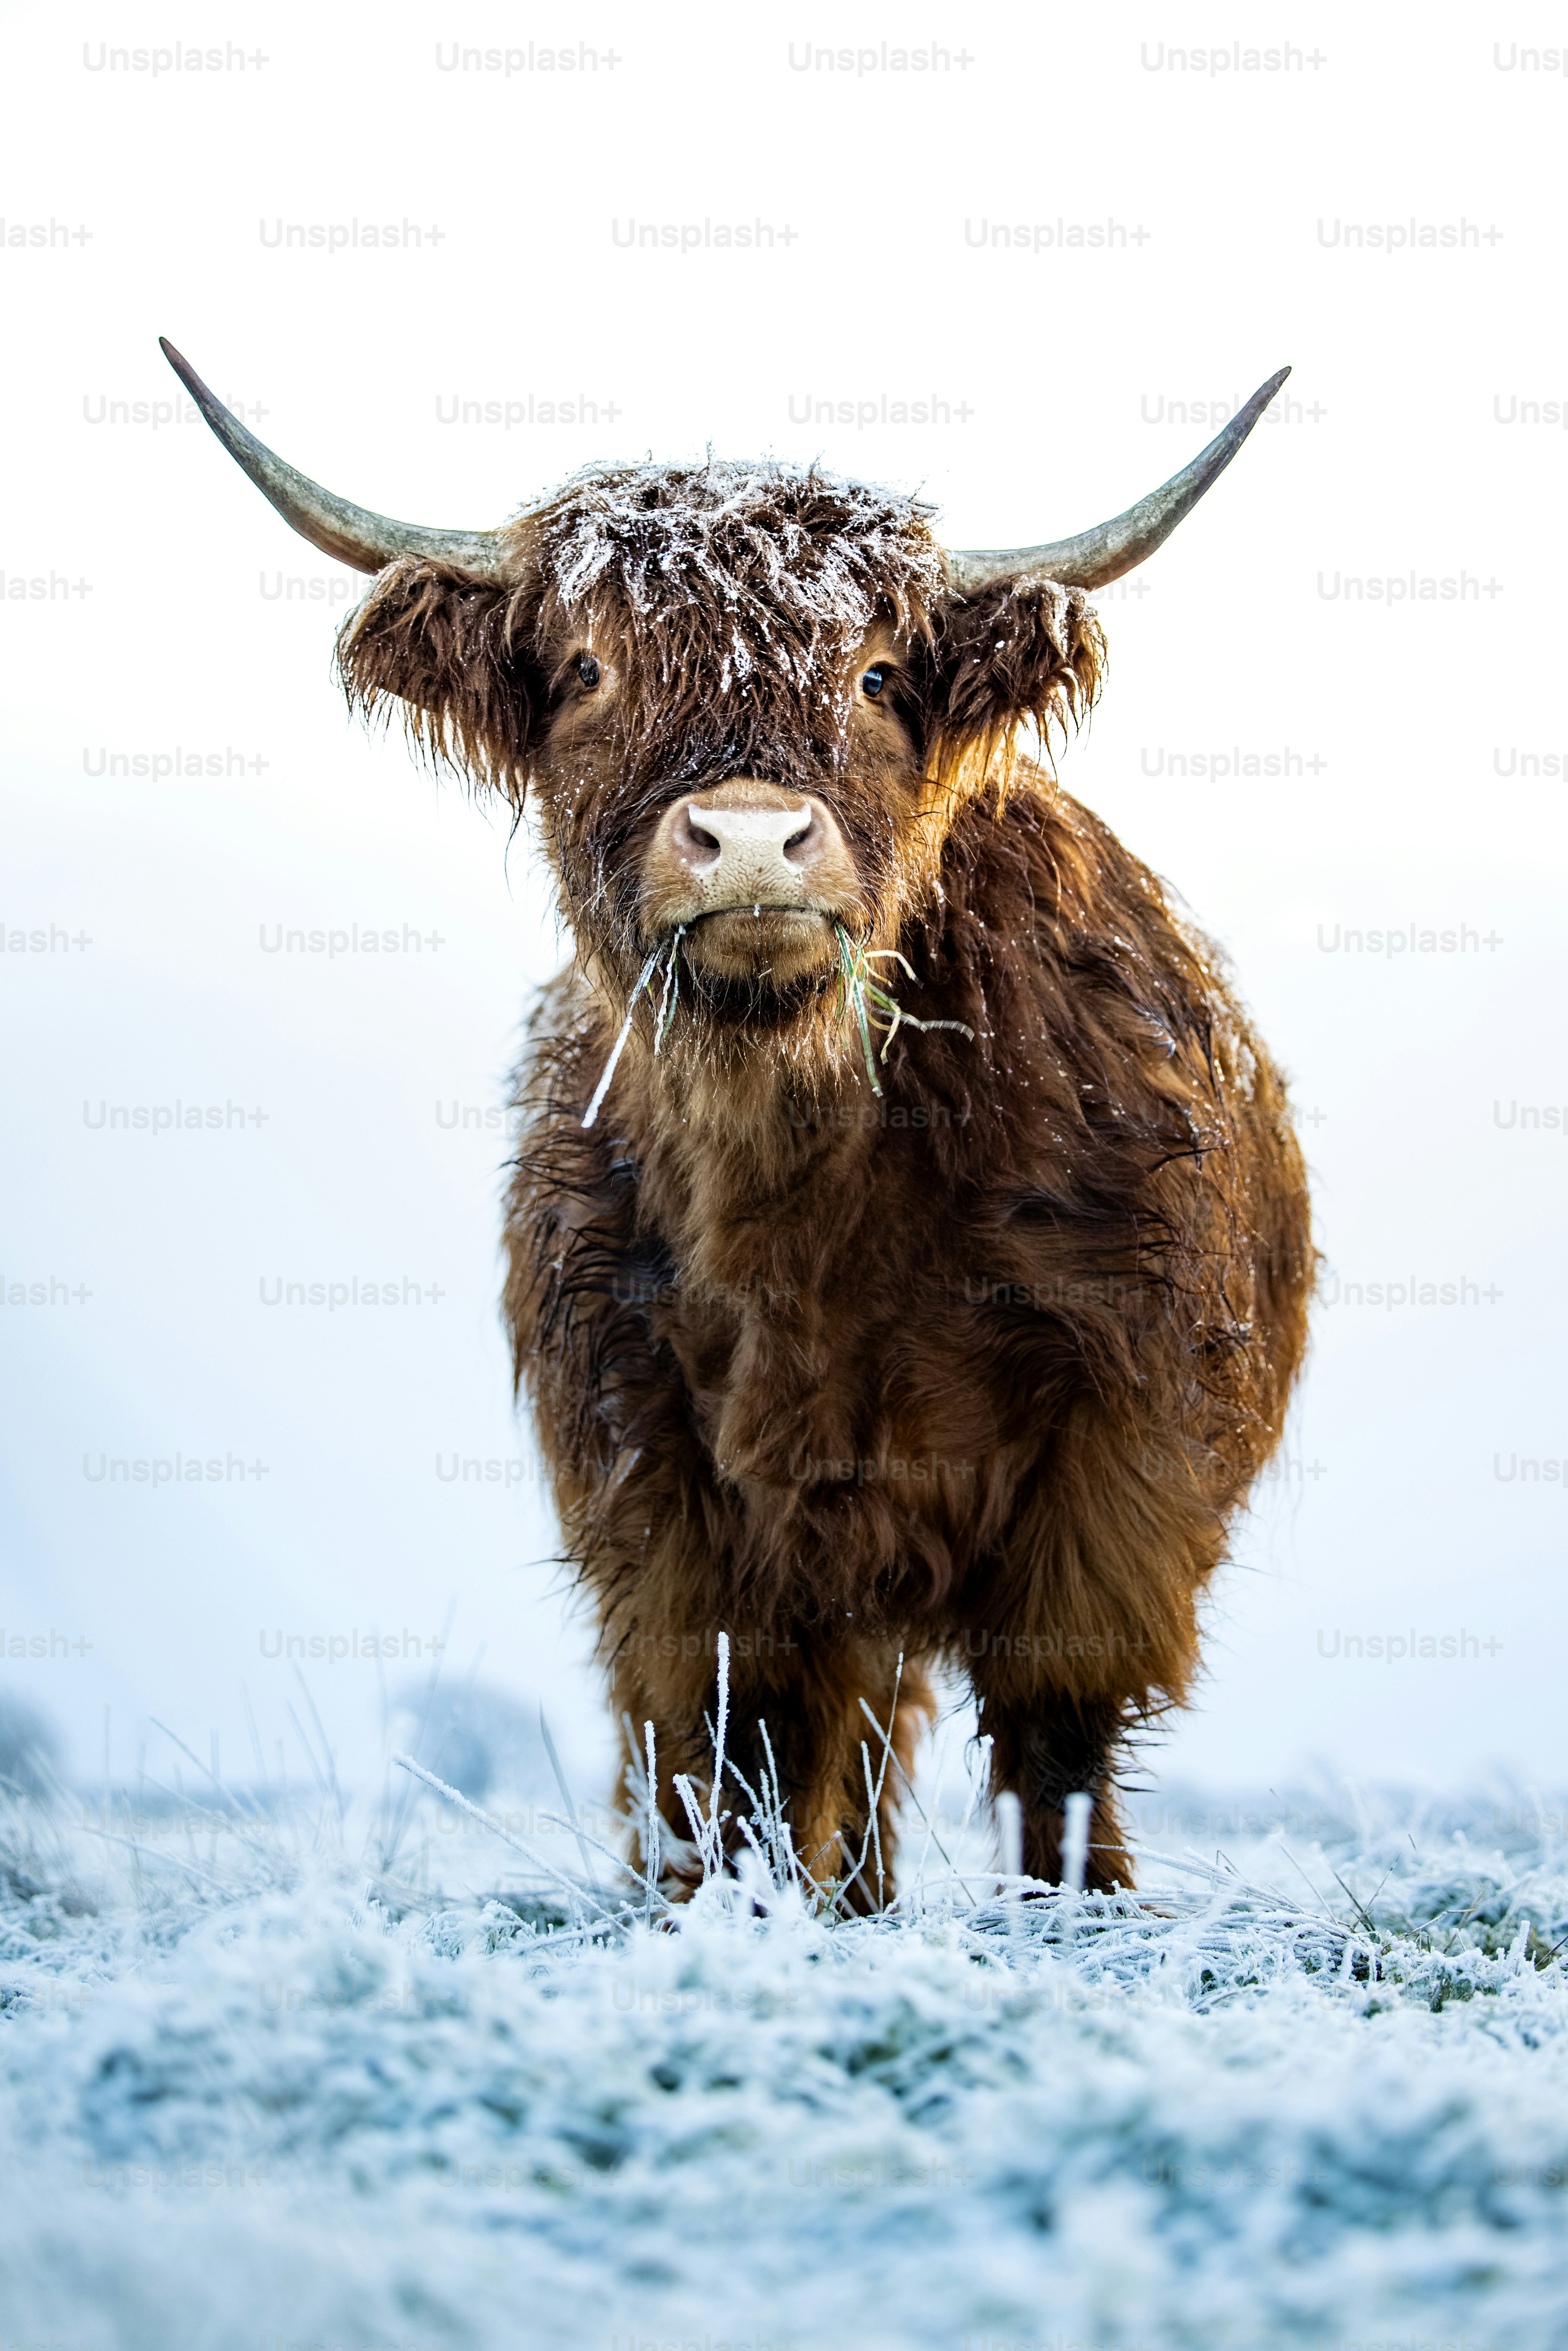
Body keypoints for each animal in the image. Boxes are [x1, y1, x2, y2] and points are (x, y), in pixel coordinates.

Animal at [161, 337, 1313, 1900]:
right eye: (588, 667)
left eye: (878, 671)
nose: (753, 840)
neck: (799, 1193)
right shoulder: (654, 1466)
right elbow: (740, 1731)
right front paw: (738, 1916)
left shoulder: (1123, 1434)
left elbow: (1055, 1722)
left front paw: (1080, 1915)